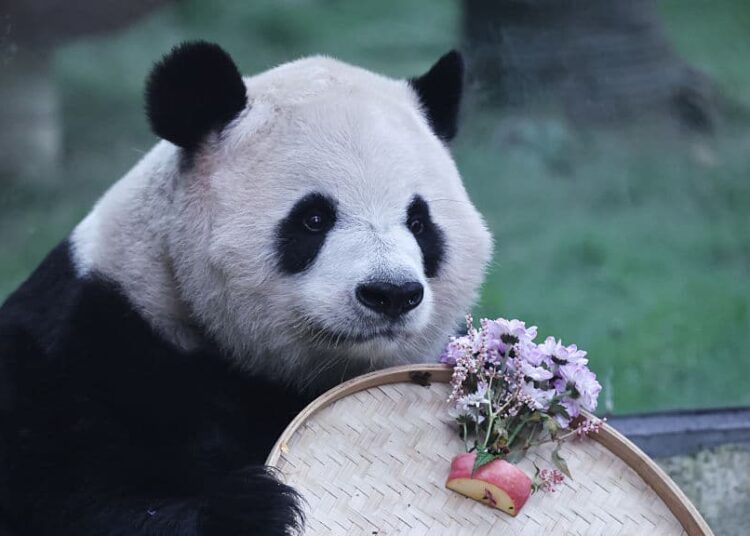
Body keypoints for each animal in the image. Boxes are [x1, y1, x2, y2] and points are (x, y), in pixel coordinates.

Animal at [0, 42, 492, 535]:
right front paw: (256, 507)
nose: (390, 293)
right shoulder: (91, 350)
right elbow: (64, 496)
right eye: (314, 218)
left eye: (419, 222)